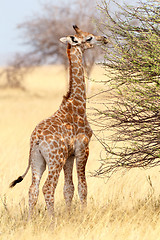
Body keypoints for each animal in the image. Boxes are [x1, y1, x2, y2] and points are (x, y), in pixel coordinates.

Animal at [9, 25, 107, 218]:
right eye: (89, 38)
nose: (104, 39)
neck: (77, 103)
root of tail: (36, 140)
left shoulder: (69, 155)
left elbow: (68, 188)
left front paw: (69, 216)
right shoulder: (83, 148)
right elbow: (83, 186)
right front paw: (83, 215)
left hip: (37, 160)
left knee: (33, 189)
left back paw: (30, 221)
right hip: (55, 159)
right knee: (47, 188)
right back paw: (52, 221)